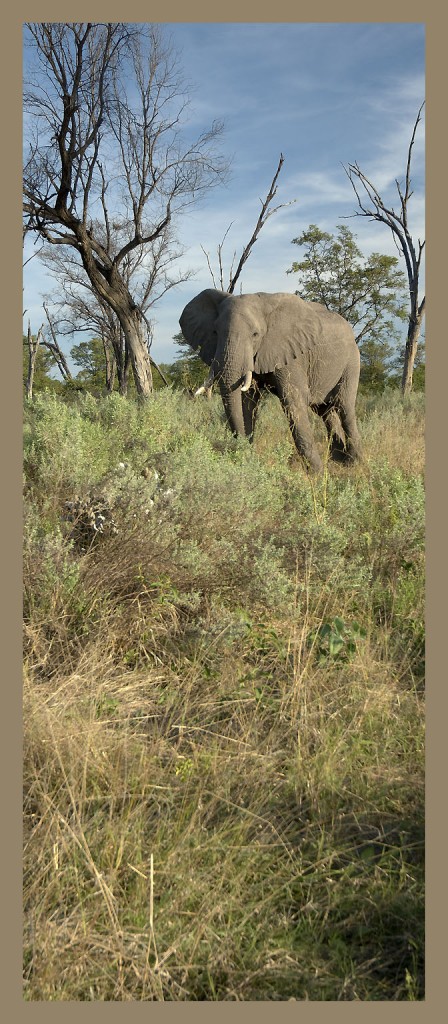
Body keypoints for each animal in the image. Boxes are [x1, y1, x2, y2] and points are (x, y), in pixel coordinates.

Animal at [178, 286, 360, 473]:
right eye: (215, 332)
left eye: (255, 334)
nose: (242, 451)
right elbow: (246, 402)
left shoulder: (292, 356)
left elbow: (293, 402)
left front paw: (316, 473)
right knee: (325, 411)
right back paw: (338, 461)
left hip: (352, 361)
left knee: (344, 406)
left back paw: (354, 463)